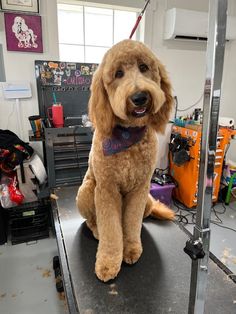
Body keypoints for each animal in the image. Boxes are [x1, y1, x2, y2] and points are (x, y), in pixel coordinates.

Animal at [76, 39, 174, 282]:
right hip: (87, 191)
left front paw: (130, 248)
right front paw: (109, 263)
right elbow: (111, 230)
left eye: (144, 67)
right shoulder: (106, 190)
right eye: (118, 73)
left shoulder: (139, 189)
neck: (129, 135)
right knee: (92, 221)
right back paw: (96, 231)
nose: (139, 97)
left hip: (148, 199)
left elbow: (131, 222)